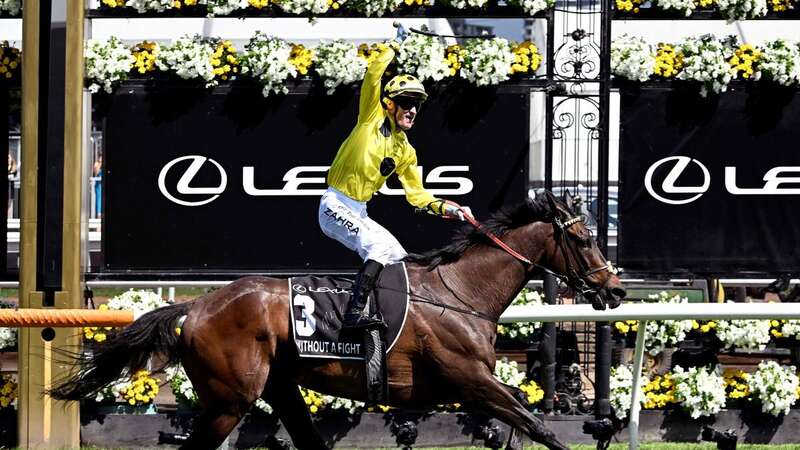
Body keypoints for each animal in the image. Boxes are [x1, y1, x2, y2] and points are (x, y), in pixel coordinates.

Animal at [50, 192, 624, 450]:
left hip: (276, 388)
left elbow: (524, 420)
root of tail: (197, 306)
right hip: (229, 401)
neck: (460, 293)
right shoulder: (470, 379)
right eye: (584, 238)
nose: (616, 289)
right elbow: (538, 424)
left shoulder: (473, 386)